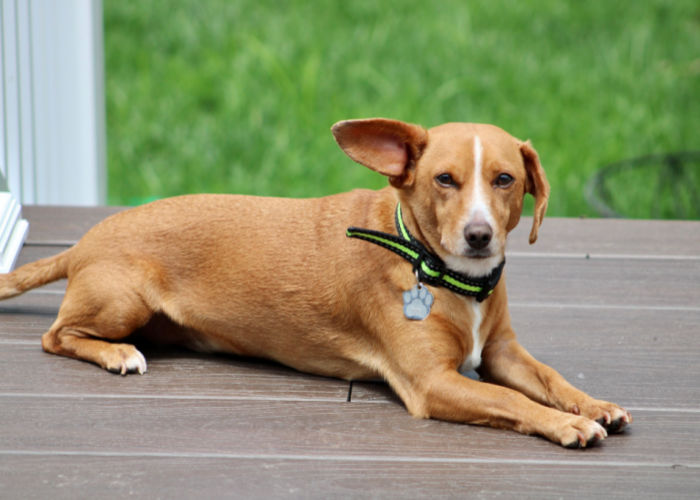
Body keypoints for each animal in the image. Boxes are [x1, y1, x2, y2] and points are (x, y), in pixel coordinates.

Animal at [0, 119, 632, 448]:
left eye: (505, 180)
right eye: (444, 180)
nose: (479, 236)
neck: (440, 271)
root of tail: (84, 241)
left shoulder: (501, 352)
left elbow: (549, 378)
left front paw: (592, 404)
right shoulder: (433, 383)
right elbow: (510, 400)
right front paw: (568, 424)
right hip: (120, 303)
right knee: (56, 336)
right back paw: (117, 354)